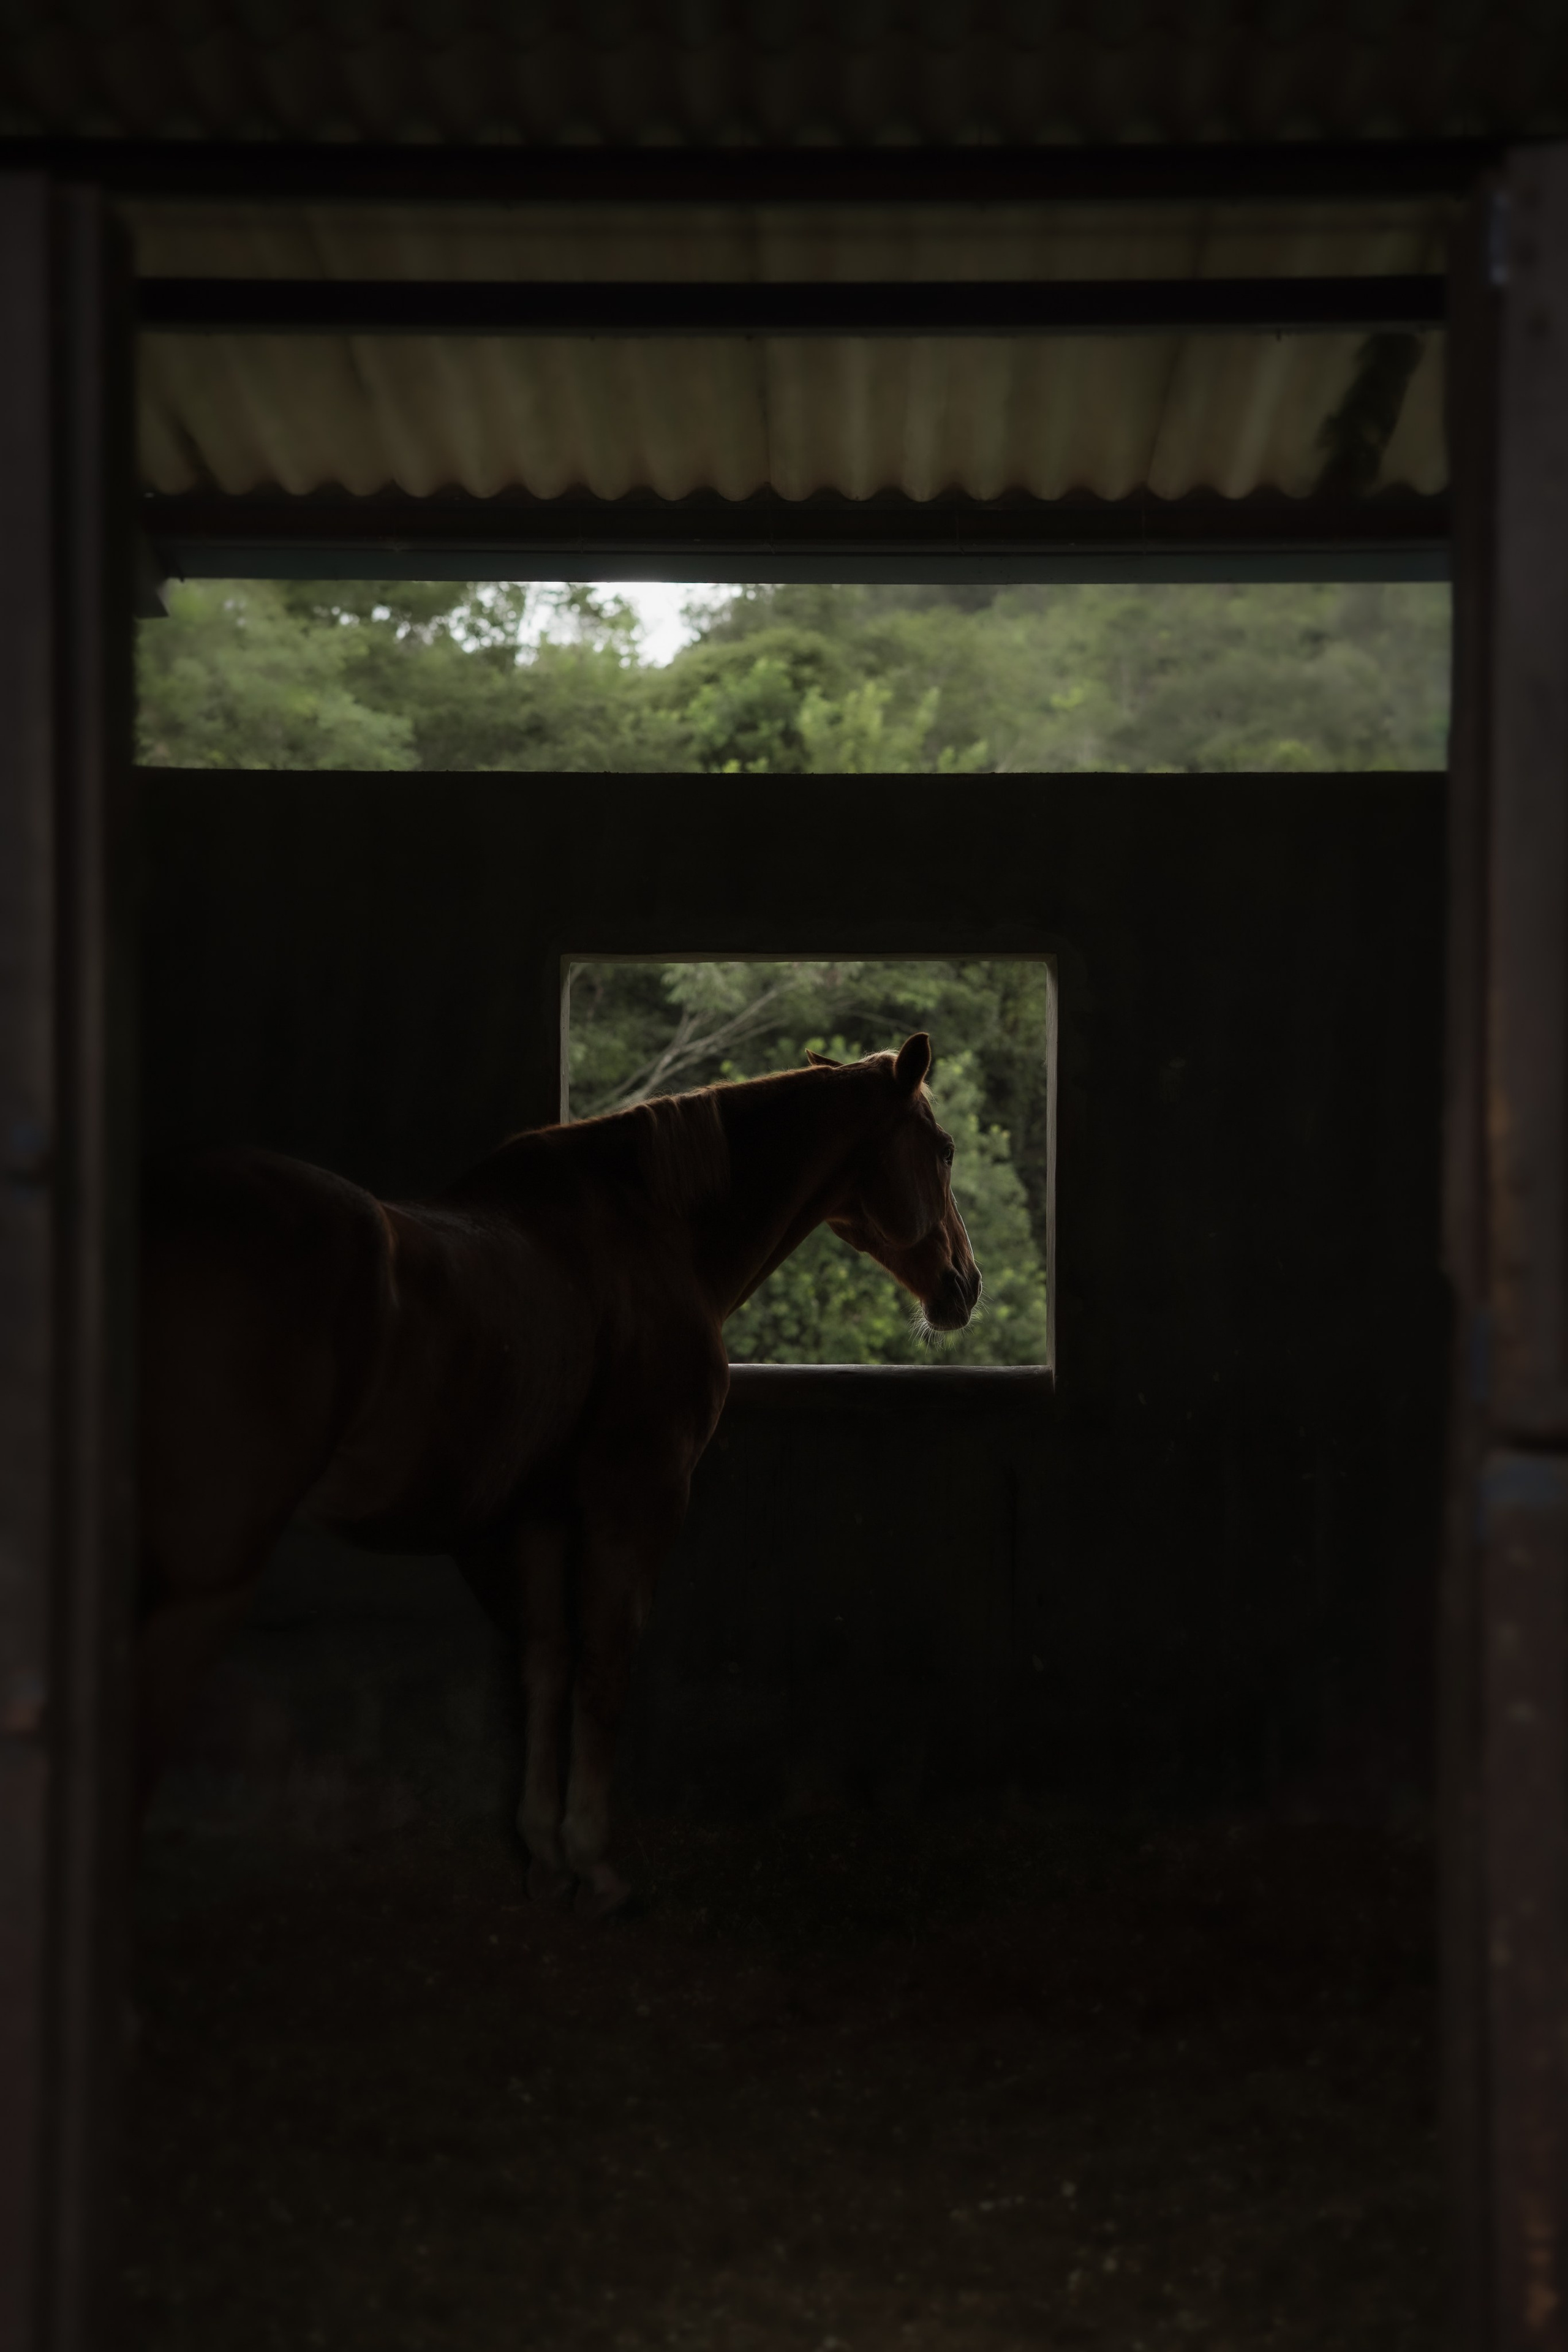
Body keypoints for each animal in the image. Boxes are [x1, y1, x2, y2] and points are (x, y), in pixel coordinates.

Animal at [137, 1032, 981, 1913]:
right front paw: (594, 1865)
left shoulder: (536, 1516)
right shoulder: (638, 1497)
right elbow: (605, 1664)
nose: (965, 1285)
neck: (653, 1235)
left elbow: (545, 1666)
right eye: (943, 1148)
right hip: (204, 1580)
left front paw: (544, 1854)